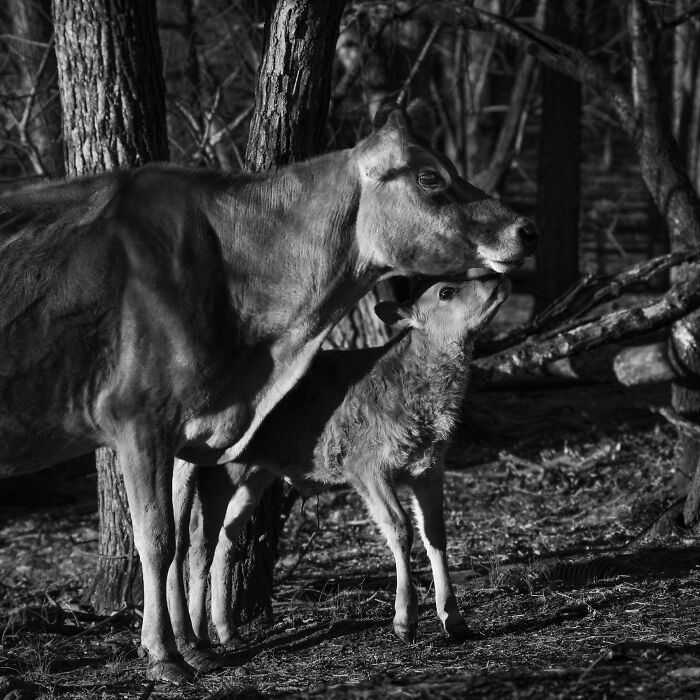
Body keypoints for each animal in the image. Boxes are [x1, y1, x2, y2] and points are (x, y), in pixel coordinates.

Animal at [171, 274, 510, 652]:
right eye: (446, 292)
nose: (497, 277)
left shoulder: (429, 468)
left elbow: (435, 533)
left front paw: (455, 620)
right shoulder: (366, 467)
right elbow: (399, 527)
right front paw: (404, 622)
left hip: (255, 474)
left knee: (227, 539)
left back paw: (229, 633)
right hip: (219, 472)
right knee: (200, 540)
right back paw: (199, 635)